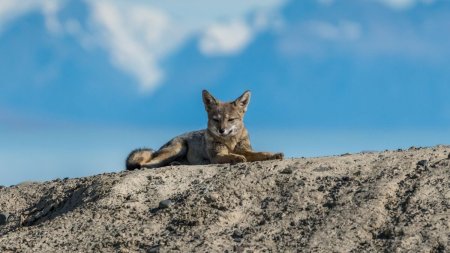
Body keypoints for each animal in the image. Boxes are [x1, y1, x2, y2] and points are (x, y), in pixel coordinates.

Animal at [125, 89, 284, 170]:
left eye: (230, 120)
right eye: (216, 119)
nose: (221, 130)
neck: (230, 143)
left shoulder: (246, 150)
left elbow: (260, 153)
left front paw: (273, 154)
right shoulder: (217, 156)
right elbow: (230, 156)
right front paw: (236, 158)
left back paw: (177, 164)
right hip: (178, 149)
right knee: (146, 164)